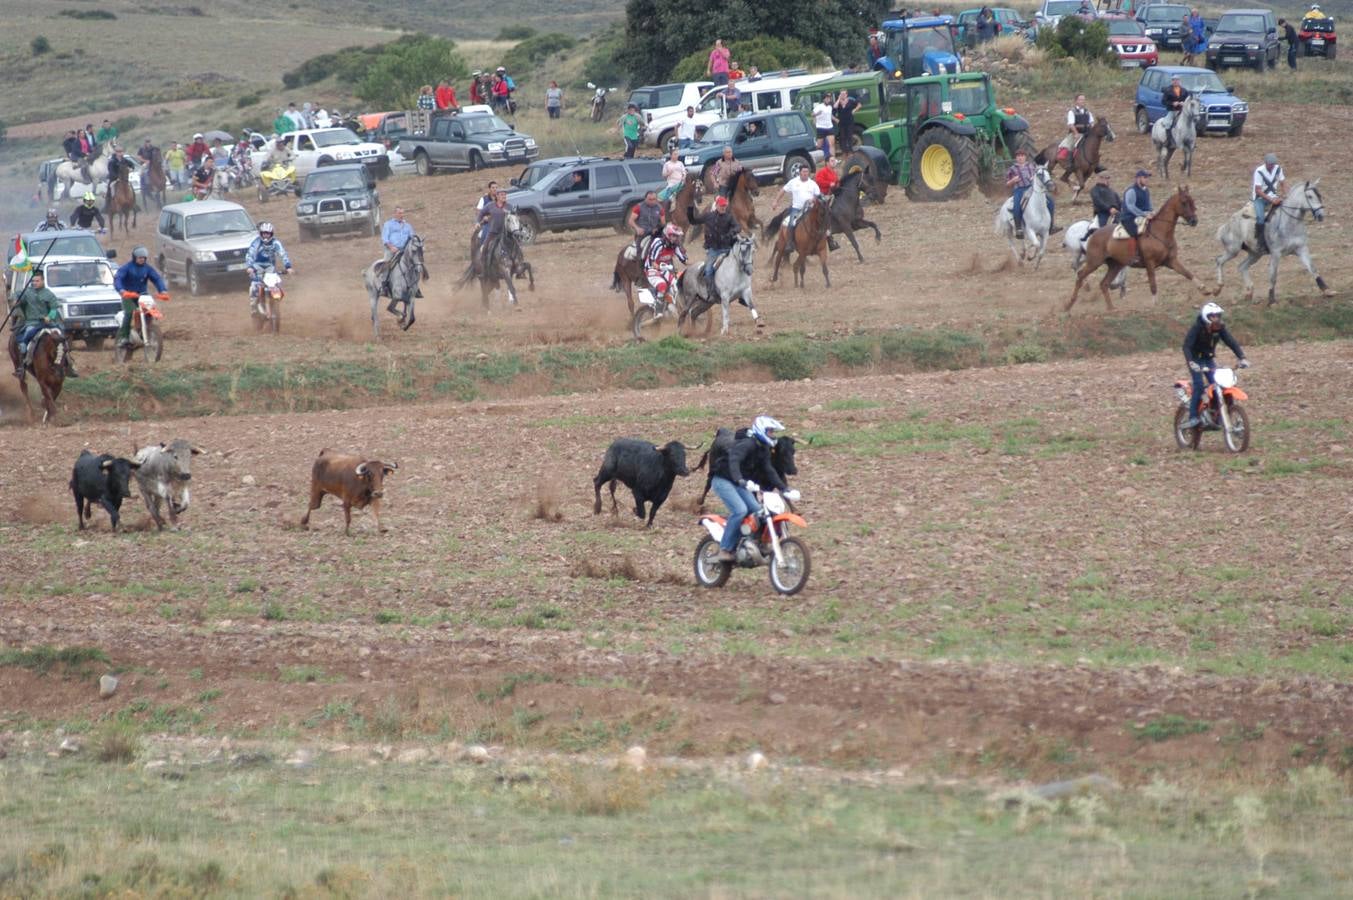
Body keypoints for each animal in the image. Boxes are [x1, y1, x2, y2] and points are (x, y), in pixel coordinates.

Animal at [1066, 184, 1217, 312]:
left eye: (1193, 201)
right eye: (1184, 202)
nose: (1194, 221)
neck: (1159, 232)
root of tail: (1094, 233)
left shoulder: (1171, 261)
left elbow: (1187, 273)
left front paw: (1204, 289)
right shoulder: (1150, 263)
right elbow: (1153, 284)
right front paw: (1154, 304)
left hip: (1115, 265)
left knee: (1103, 284)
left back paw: (1111, 308)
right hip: (1094, 262)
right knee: (1080, 275)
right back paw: (1069, 305)